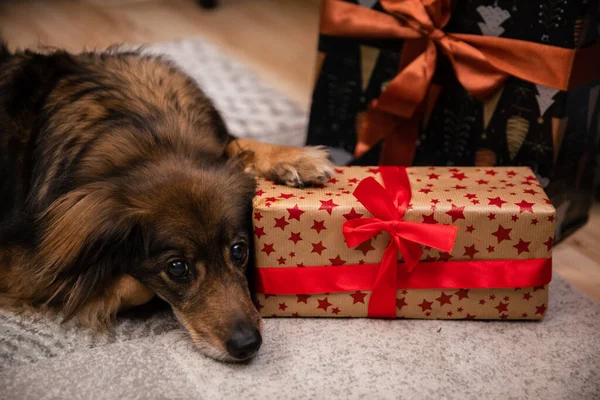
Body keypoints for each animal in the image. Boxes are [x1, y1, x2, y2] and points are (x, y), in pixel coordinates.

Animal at [0, 43, 332, 362]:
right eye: (176, 268)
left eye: (240, 250)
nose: (247, 345)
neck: (152, 140)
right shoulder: (25, 266)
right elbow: (133, 284)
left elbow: (240, 143)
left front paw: (296, 159)